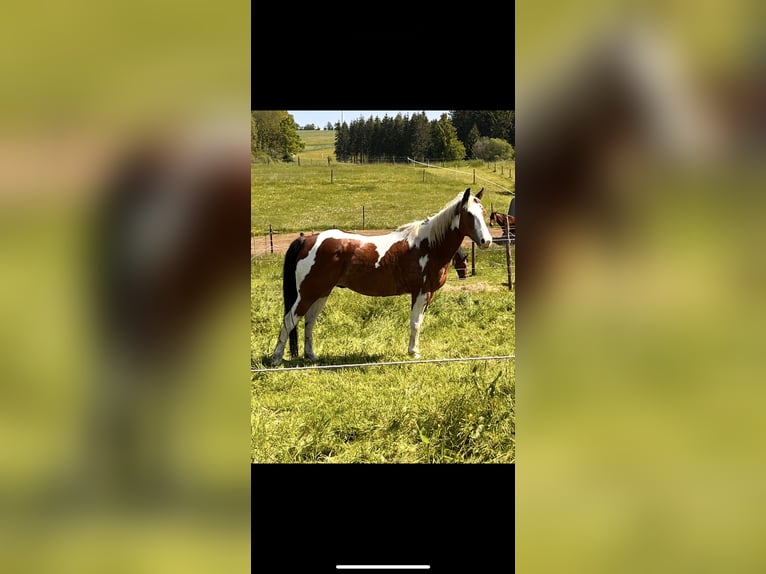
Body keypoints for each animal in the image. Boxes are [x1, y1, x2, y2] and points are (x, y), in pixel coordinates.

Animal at [270, 187, 493, 365]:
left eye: (484, 213)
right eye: (468, 214)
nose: (486, 241)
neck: (429, 245)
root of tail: (308, 239)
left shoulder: (427, 294)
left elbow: (419, 322)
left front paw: (415, 351)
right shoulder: (420, 292)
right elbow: (415, 323)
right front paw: (413, 353)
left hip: (321, 292)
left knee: (309, 321)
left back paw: (311, 356)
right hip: (308, 293)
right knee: (290, 320)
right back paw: (276, 358)